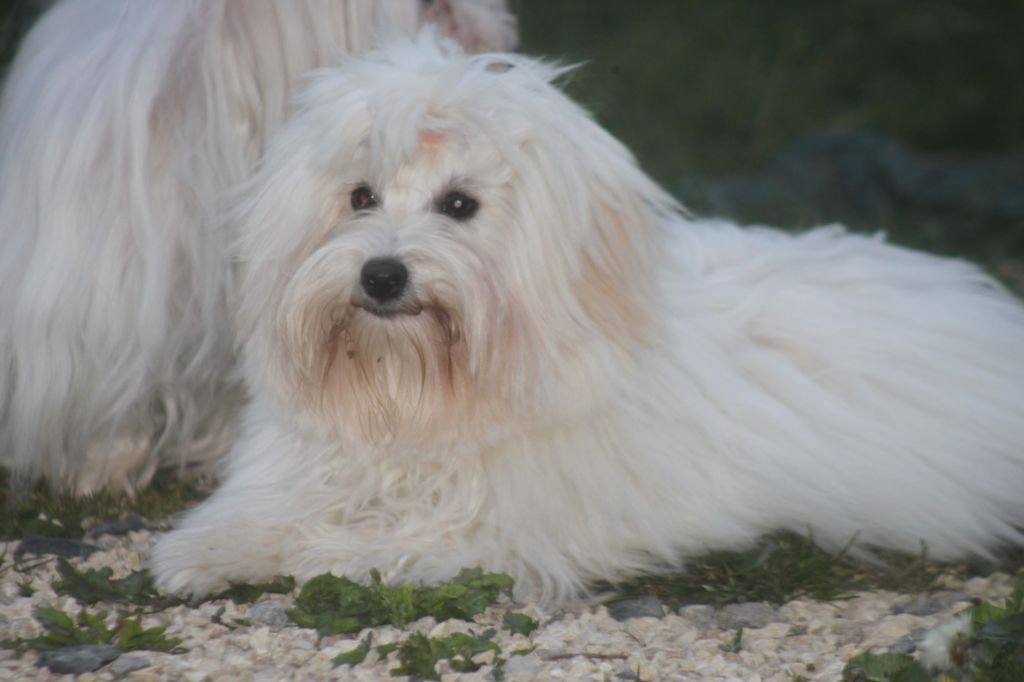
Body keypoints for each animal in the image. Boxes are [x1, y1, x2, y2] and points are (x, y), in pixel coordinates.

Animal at [149, 34, 1024, 602]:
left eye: (459, 205)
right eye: (360, 197)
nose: (383, 274)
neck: (413, 395)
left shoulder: (505, 532)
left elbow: (373, 544)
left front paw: (309, 553)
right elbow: (258, 512)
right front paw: (204, 550)